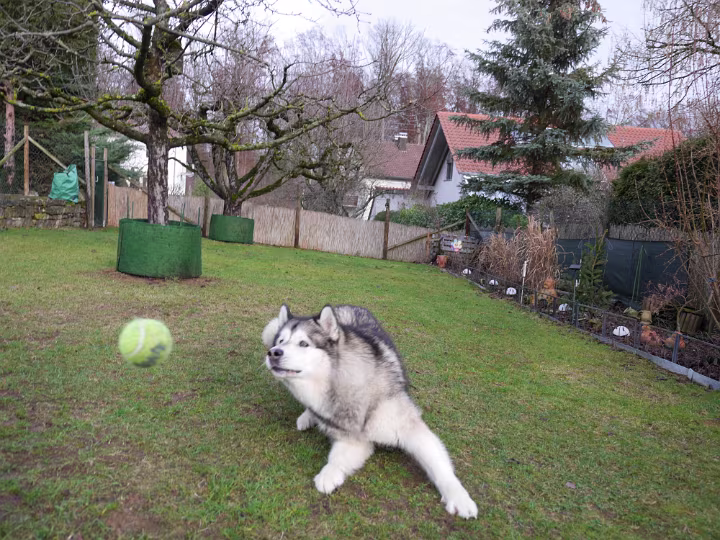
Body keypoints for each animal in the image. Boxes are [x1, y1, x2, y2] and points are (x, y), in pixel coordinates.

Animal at [262, 304, 478, 519]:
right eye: (281, 341)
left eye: (303, 344)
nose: (273, 352)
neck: (340, 383)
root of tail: (343, 305)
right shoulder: (352, 437)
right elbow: (337, 457)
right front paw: (329, 473)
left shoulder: (411, 429)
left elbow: (439, 466)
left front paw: (459, 497)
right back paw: (308, 416)